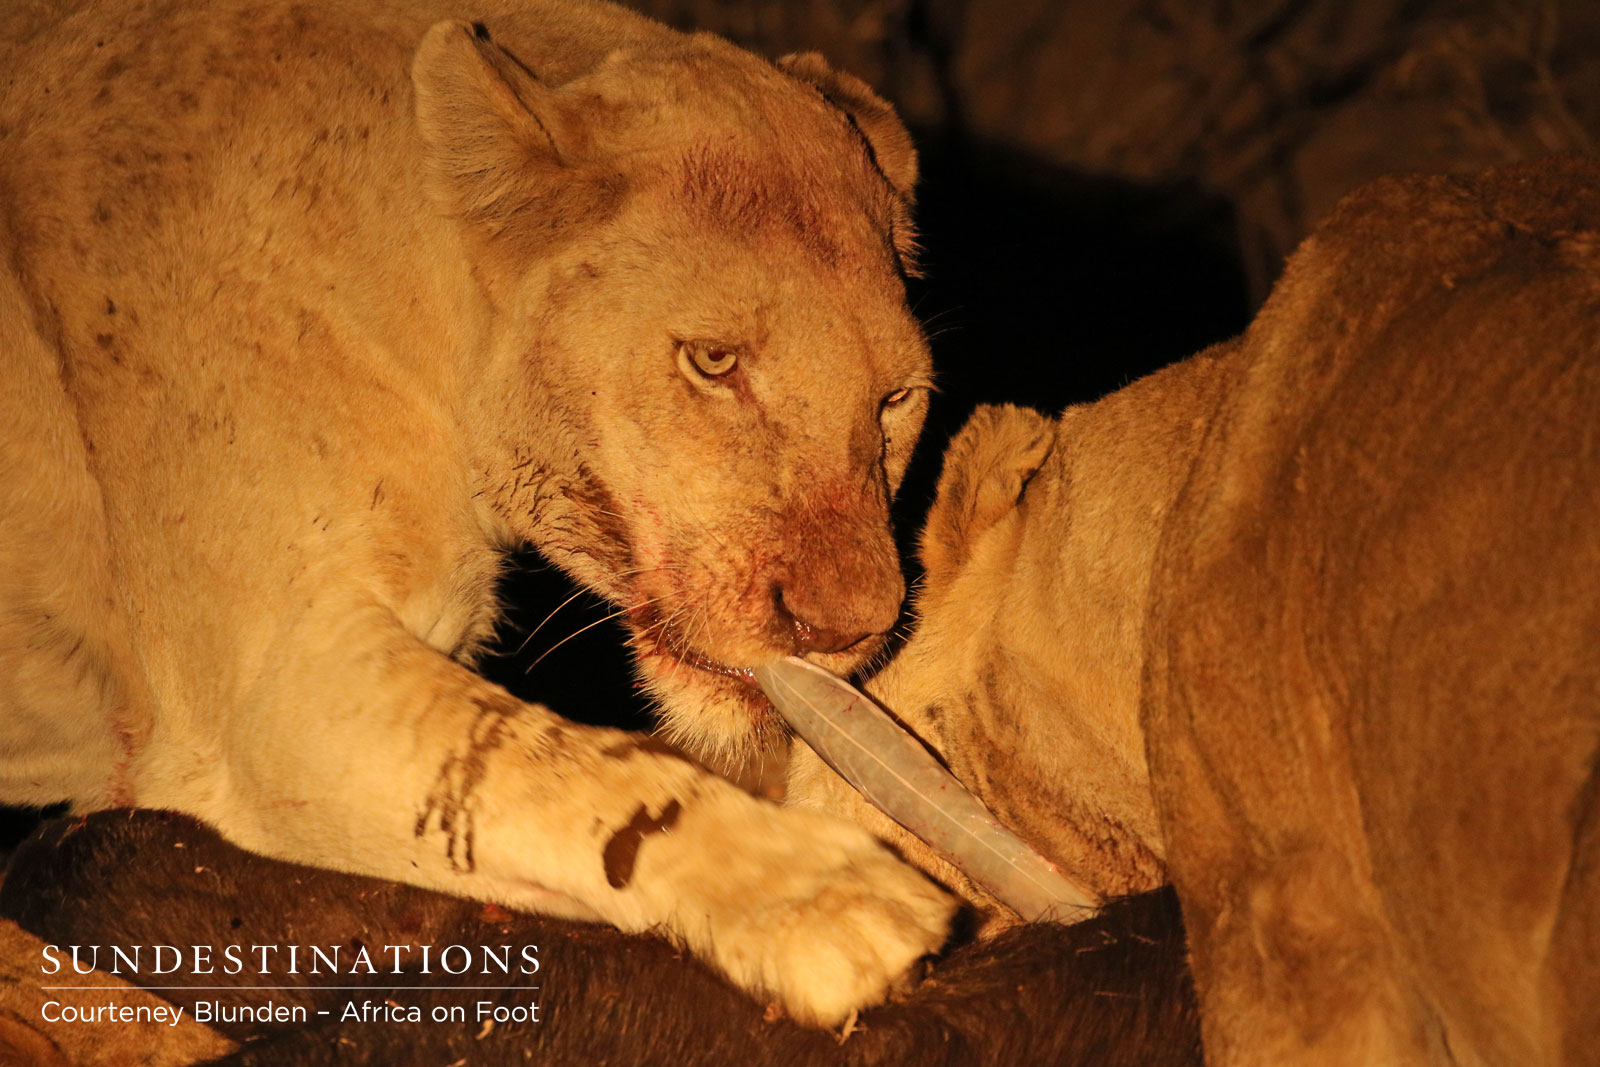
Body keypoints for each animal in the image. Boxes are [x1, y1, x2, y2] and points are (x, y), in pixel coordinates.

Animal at [0, 0, 954, 1025]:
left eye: (896, 400)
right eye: (713, 361)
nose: (846, 628)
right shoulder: (252, 706)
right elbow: (545, 761)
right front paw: (829, 902)